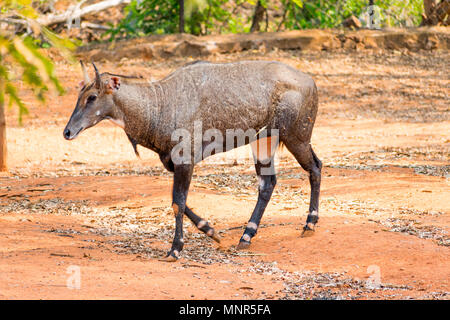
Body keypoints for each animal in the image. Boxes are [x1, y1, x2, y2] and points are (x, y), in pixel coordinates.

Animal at [64, 61, 324, 262]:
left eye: (92, 97)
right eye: (79, 97)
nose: (67, 132)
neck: (159, 105)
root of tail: (310, 81)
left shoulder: (185, 159)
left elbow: (177, 202)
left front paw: (175, 249)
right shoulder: (173, 162)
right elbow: (179, 201)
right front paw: (211, 231)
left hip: (296, 137)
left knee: (315, 167)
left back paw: (309, 224)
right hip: (263, 142)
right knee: (267, 184)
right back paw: (246, 236)